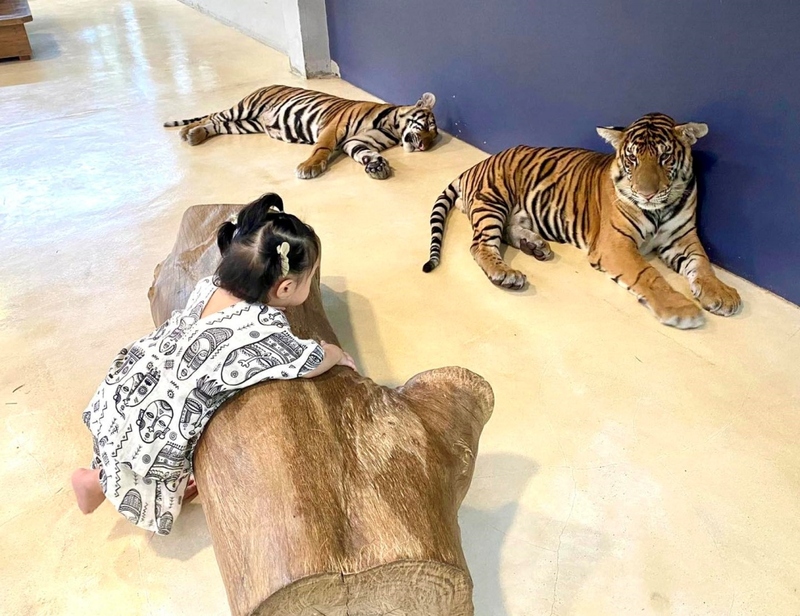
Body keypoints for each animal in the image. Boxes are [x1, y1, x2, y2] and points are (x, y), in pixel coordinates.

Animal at [164, 84, 438, 180]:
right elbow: (322, 148)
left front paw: (377, 166)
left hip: (245, 125)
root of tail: (264, 86)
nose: (424, 146)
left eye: (433, 139)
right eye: (426, 127)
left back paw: (196, 135)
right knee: (213, 116)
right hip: (243, 109)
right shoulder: (335, 128)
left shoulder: (357, 140)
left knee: (217, 125)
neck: (392, 127)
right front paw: (309, 167)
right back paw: (187, 131)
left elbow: (363, 153)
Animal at [422, 113, 742, 329]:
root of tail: (476, 165)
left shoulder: (683, 237)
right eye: (633, 159)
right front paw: (681, 309)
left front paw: (722, 294)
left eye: (665, 158)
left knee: (504, 233)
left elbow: (702, 263)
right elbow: (649, 274)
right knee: (479, 245)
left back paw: (534, 246)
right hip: (493, 201)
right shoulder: (616, 244)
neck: (659, 209)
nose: (647, 194)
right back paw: (506, 274)